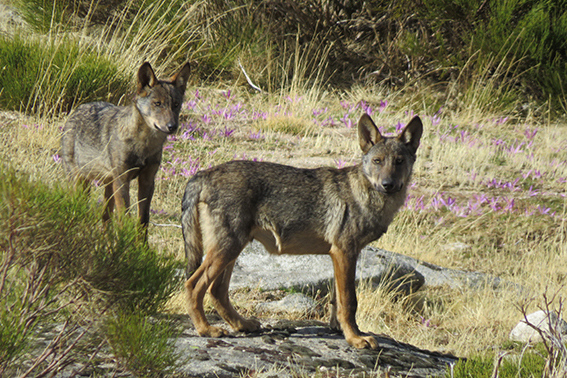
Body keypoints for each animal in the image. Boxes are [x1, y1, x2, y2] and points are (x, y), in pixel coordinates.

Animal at [61, 61, 191, 230]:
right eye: (158, 104)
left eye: (175, 105)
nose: (172, 126)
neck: (144, 146)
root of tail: (77, 109)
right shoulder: (122, 179)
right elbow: (124, 217)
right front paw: (125, 236)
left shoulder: (147, 180)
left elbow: (143, 220)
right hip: (81, 182)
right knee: (77, 206)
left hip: (108, 185)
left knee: (105, 217)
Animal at [181, 113, 422, 348]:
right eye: (377, 161)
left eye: (399, 162)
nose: (388, 184)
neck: (365, 195)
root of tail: (203, 173)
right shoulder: (345, 252)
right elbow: (349, 302)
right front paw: (355, 339)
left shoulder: (339, 256)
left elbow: (337, 301)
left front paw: (339, 330)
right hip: (227, 248)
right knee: (193, 285)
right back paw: (206, 330)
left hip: (232, 249)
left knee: (217, 291)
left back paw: (243, 325)